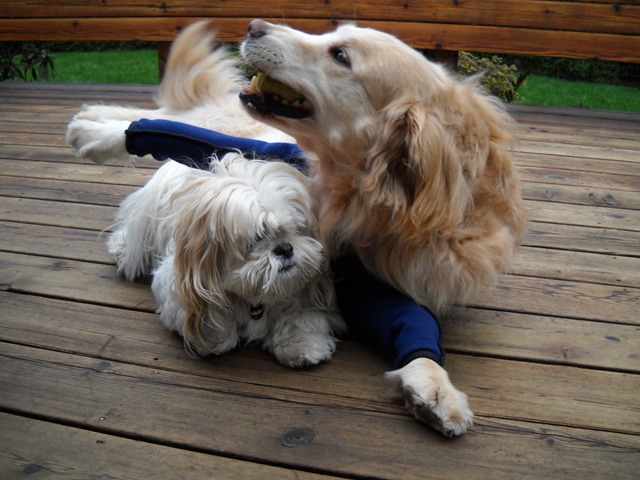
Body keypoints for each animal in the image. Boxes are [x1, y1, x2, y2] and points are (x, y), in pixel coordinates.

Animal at [111, 155, 350, 368]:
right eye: (257, 237)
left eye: (297, 229)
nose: (285, 248)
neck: (255, 300)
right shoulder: (175, 286)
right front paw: (215, 336)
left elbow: (300, 317)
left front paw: (301, 345)